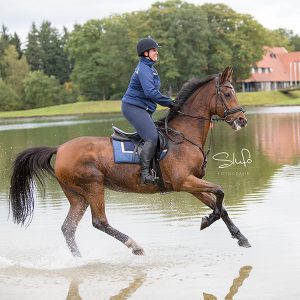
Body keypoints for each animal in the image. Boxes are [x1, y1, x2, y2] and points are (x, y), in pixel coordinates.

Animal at [8, 67, 251, 256]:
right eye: (228, 93)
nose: (242, 120)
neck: (184, 136)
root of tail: (60, 148)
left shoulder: (191, 184)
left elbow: (221, 206)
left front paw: (240, 237)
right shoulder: (184, 181)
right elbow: (220, 191)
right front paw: (208, 220)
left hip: (77, 196)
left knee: (68, 228)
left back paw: (79, 259)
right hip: (93, 186)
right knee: (99, 222)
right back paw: (134, 246)